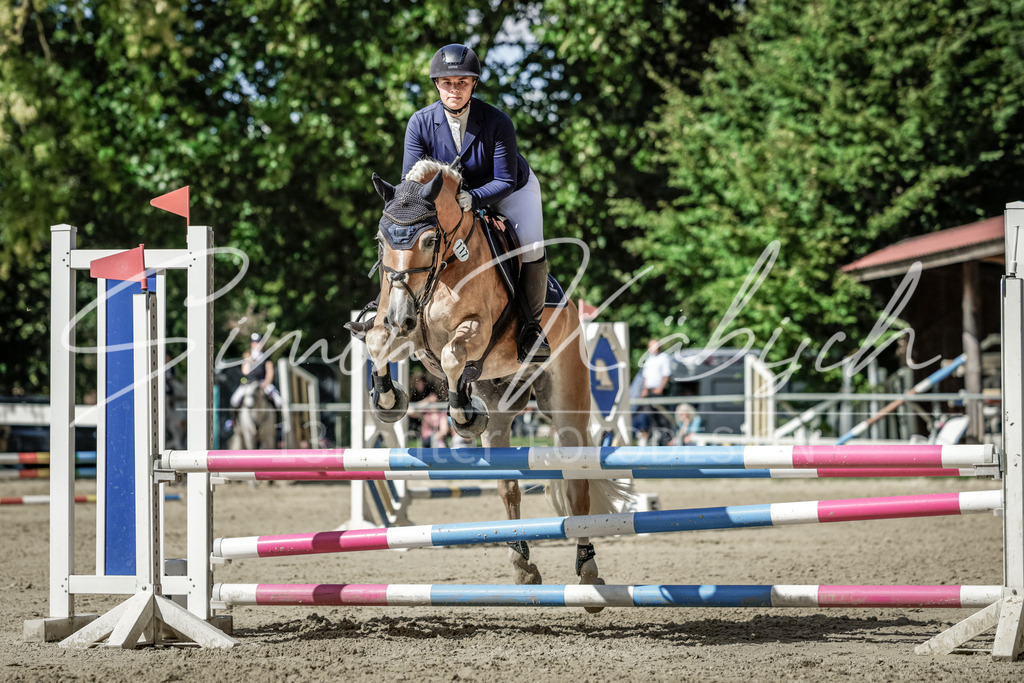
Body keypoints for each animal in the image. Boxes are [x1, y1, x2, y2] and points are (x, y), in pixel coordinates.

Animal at [361, 159, 632, 607]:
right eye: (381, 241)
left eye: (429, 239)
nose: (402, 315)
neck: (445, 267)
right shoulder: (404, 332)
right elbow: (377, 340)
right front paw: (387, 400)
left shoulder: (475, 331)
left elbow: (453, 355)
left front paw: (462, 415)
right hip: (503, 411)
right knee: (508, 486)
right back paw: (522, 563)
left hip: (567, 407)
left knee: (576, 487)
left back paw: (587, 569)